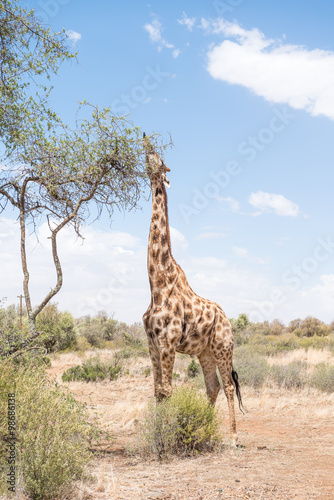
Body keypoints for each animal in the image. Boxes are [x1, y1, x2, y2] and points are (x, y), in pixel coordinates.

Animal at [142, 135, 244, 448]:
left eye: (160, 159)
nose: (145, 139)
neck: (157, 283)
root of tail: (227, 319)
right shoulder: (151, 343)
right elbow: (158, 392)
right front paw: (161, 436)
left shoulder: (167, 342)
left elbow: (167, 391)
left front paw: (166, 440)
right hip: (205, 352)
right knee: (212, 387)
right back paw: (202, 431)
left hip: (223, 348)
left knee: (228, 386)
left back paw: (232, 437)